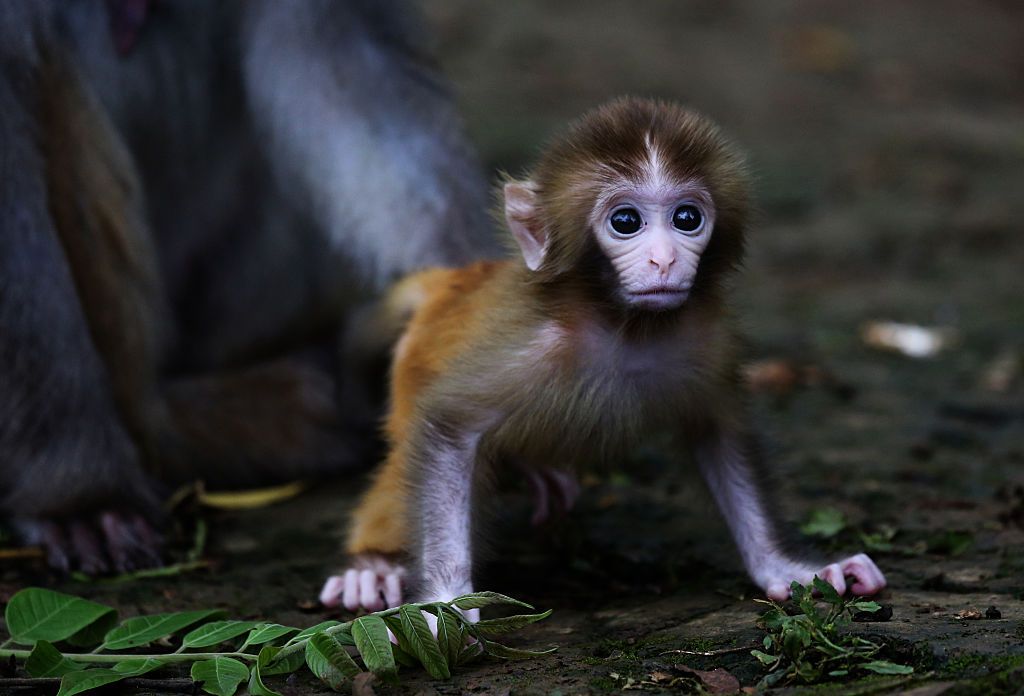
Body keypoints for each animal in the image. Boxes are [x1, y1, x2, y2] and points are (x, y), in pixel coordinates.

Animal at [320, 97, 886, 613]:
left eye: (687, 218)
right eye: (626, 222)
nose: (664, 259)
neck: (624, 326)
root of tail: (447, 281)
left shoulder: (709, 343)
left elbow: (719, 433)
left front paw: (787, 567)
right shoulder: (525, 351)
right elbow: (446, 429)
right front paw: (447, 605)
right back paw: (373, 566)